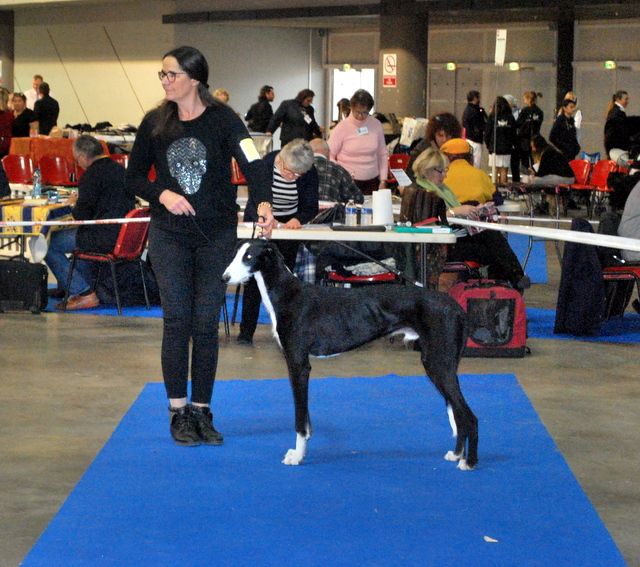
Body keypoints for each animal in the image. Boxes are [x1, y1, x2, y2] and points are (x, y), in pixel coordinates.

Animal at [222, 240, 478, 470]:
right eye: (235, 254)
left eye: (248, 257)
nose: (224, 278)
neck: (288, 295)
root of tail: (457, 308)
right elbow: (307, 418)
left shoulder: (298, 364)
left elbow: (300, 418)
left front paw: (297, 456)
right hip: (438, 364)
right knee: (458, 414)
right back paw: (456, 454)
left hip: (439, 364)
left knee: (468, 416)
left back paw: (469, 462)